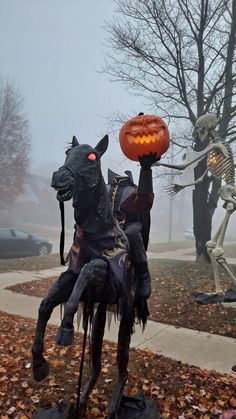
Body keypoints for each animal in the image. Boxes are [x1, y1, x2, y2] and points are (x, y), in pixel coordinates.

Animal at [155, 113, 236, 294]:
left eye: (199, 127)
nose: (195, 135)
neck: (216, 137)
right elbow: (199, 179)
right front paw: (177, 187)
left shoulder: (214, 146)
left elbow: (184, 165)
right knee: (211, 244)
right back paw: (218, 290)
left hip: (227, 190)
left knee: (230, 206)